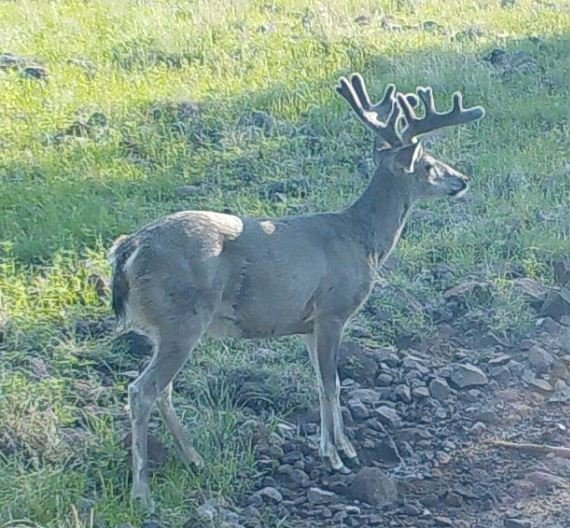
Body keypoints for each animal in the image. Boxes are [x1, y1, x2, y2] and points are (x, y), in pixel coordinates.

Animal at [110, 72, 484, 510]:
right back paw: (142, 492)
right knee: (141, 390)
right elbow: (330, 383)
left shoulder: (307, 323)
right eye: (427, 164)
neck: (362, 239)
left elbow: (326, 383)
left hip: (165, 326)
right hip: (181, 317)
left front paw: (338, 448)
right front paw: (338, 456)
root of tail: (129, 247)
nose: (462, 179)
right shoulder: (332, 310)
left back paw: (195, 459)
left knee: (161, 389)